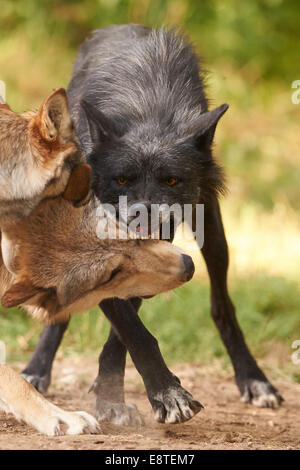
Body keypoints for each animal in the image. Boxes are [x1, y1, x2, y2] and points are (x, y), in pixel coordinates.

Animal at [22, 23, 282, 424]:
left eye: (170, 180)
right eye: (121, 179)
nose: (140, 216)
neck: (147, 109)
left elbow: (126, 329)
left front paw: (115, 396)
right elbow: (132, 328)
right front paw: (163, 392)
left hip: (213, 233)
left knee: (222, 305)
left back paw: (254, 380)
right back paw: (37, 370)